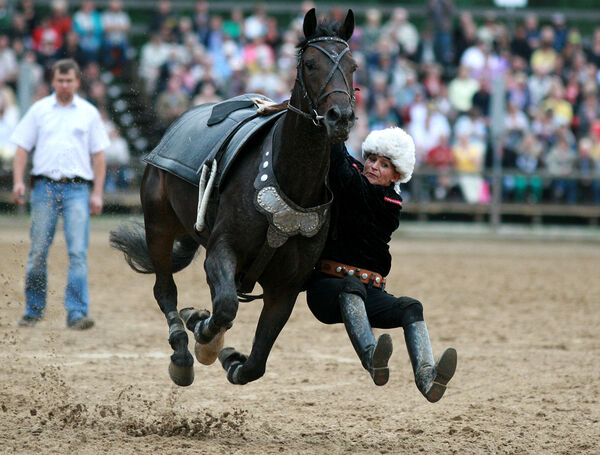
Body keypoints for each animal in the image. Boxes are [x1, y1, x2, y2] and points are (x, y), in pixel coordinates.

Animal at [110, 8, 356, 386]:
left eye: (353, 66)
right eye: (311, 64)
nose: (339, 117)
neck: (290, 183)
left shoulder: (286, 287)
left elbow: (255, 363)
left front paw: (230, 356)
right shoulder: (221, 251)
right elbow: (225, 306)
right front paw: (203, 334)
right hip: (159, 224)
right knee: (164, 289)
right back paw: (181, 352)